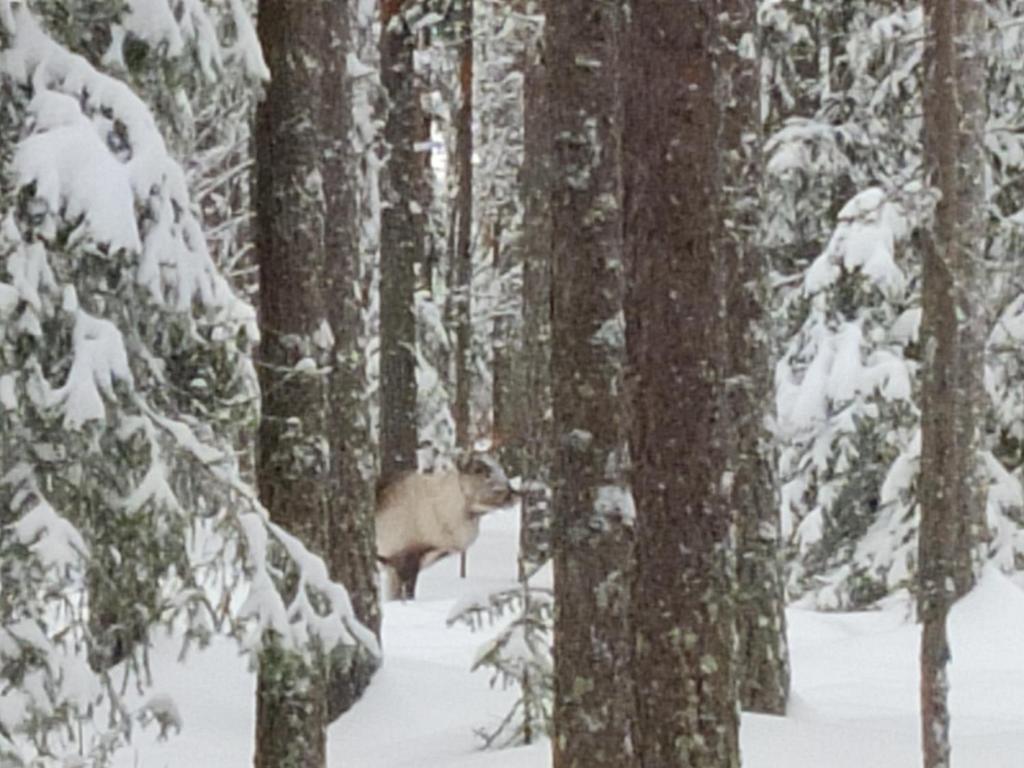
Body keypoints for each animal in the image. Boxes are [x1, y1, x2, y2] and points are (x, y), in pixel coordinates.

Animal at [375, 454, 515, 601]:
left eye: (500, 468)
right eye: (478, 470)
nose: (512, 493)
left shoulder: (396, 567)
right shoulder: (401, 558)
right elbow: (405, 595)